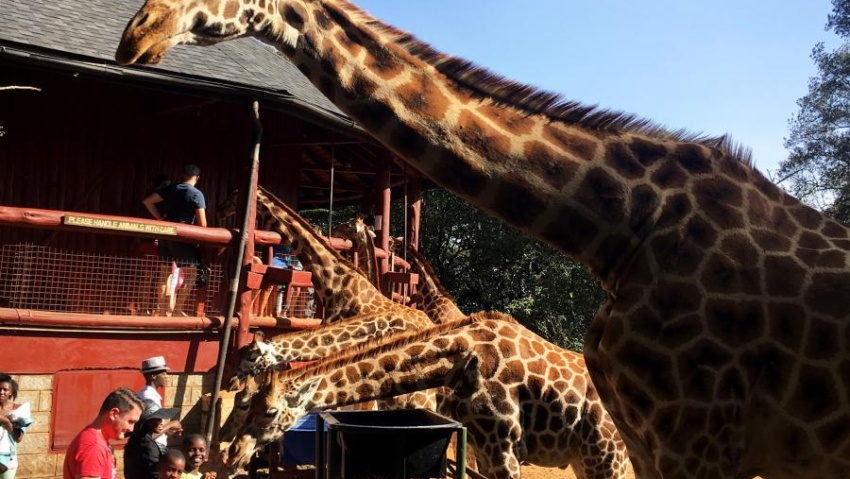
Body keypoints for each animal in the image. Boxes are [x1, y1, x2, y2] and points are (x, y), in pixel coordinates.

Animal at [226, 312, 629, 479]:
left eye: (268, 411)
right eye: (249, 404)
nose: (232, 454)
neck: (460, 360)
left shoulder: (504, 450)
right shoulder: (485, 450)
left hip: (606, 457)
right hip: (585, 460)